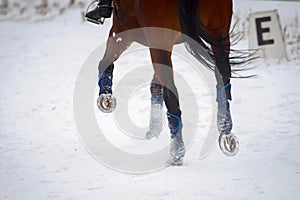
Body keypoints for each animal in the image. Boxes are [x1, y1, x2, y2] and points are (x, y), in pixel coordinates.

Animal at [88, 0, 240, 166]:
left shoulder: (124, 30)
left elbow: (104, 62)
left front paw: (105, 98)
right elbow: (155, 85)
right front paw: (154, 129)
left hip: (157, 40)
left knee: (171, 95)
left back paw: (177, 152)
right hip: (219, 35)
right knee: (223, 80)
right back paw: (226, 131)